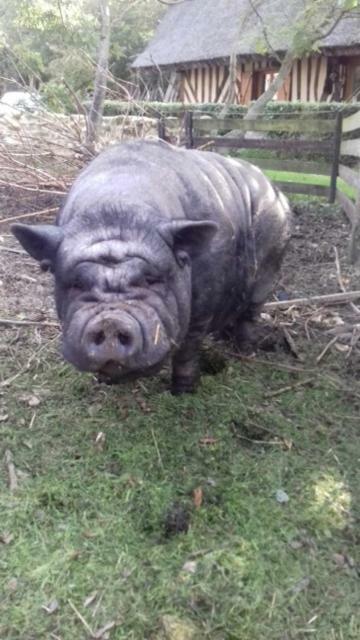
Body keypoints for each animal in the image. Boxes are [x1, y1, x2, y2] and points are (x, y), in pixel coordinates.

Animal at [11, 138, 292, 392]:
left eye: (151, 279)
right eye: (76, 283)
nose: (110, 321)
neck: (117, 208)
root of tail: (275, 190)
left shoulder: (202, 304)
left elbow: (188, 350)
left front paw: (182, 391)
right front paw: (104, 382)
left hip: (271, 263)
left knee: (251, 312)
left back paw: (245, 349)